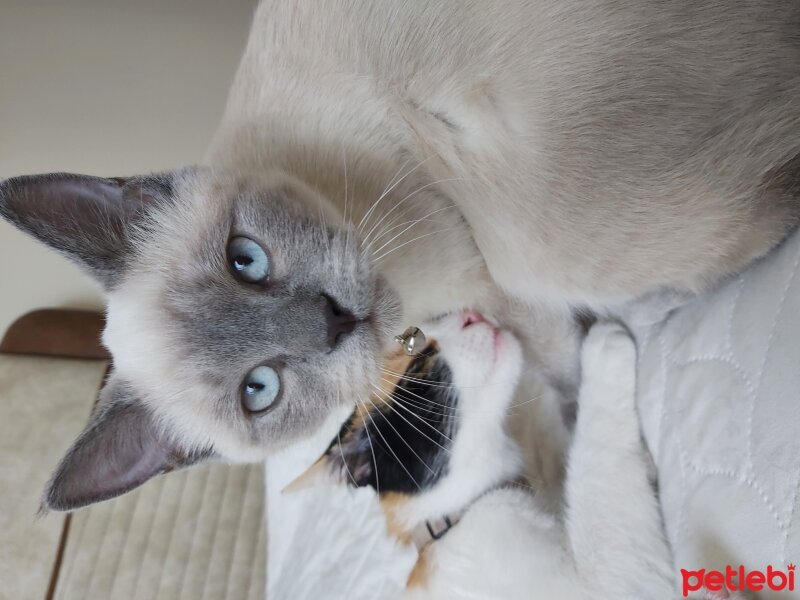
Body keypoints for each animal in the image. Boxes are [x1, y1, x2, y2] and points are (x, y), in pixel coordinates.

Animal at [1, 1, 800, 510]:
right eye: (260, 391)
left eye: (245, 260)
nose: (334, 320)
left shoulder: (499, 279)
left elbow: (565, 375)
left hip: (535, 237)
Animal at [298, 316, 744, 596]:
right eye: (419, 358)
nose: (472, 314)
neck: (457, 512)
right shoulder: (608, 584)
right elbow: (594, 476)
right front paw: (603, 345)